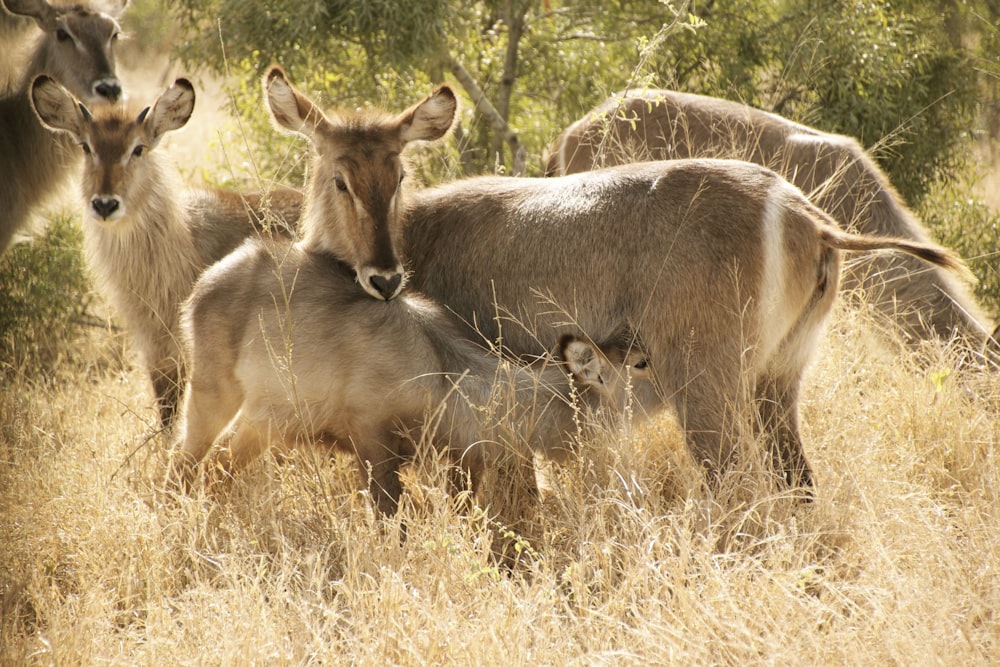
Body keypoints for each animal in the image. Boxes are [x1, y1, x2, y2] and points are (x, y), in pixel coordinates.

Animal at [170, 236, 648, 516]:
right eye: (641, 363)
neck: (448, 375)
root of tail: (206, 280)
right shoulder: (370, 438)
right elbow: (389, 513)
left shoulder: (462, 459)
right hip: (213, 393)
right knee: (185, 459)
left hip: (264, 420)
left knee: (215, 467)